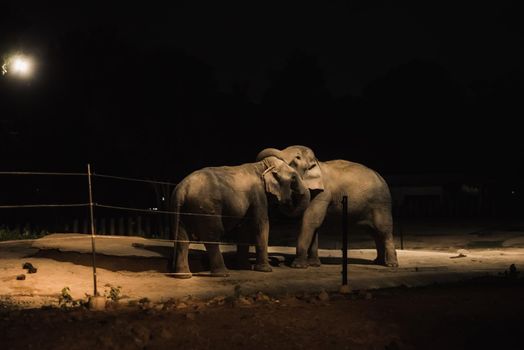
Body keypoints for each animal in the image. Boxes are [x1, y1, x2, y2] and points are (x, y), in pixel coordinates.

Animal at [170, 156, 310, 278]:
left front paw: (244, 267)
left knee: (182, 238)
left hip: (183, 210)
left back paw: (183, 276)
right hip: (206, 207)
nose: (290, 200)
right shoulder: (258, 194)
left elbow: (244, 228)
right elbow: (261, 224)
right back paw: (223, 274)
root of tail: (181, 189)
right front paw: (265, 270)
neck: (262, 165)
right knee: (212, 236)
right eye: (293, 178)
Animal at [256, 145, 400, 268]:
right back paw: (378, 262)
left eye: (297, 158)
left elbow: (310, 220)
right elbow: (314, 224)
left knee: (383, 230)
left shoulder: (324, 193)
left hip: (381, 204)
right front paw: (314, 264)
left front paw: (298, 266)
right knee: (374, 232)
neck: (318, 163)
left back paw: (391, 265)